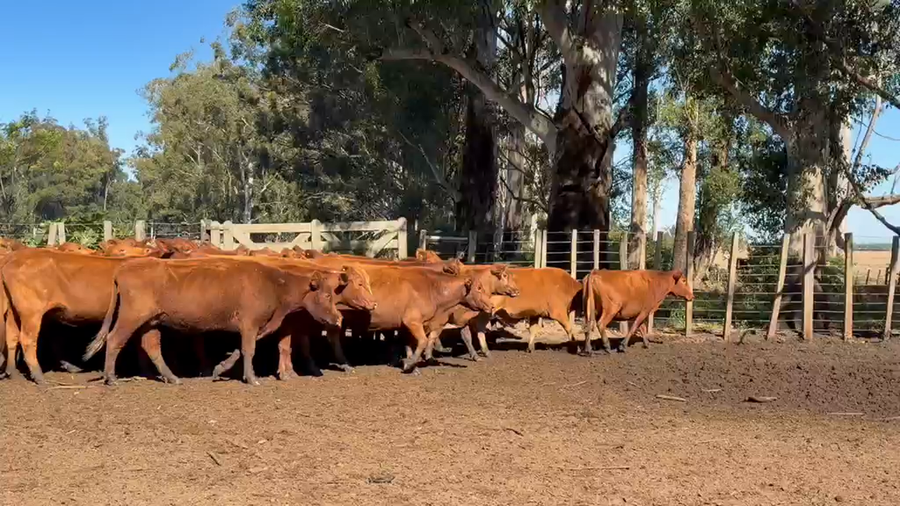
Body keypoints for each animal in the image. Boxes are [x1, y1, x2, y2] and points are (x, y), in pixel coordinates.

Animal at [81, 257, 352, 385]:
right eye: (326, 296)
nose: (338, 318)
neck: (275, 284)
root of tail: (122, 269)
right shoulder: (250, 323)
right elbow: (248, 350)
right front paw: (252, 378)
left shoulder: (255, 326)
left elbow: (239, 350)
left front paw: (220, 369)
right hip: (132, 317)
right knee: (114, 339)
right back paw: (111, 378)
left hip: (151, 322)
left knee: (152, 347)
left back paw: (172, 378)